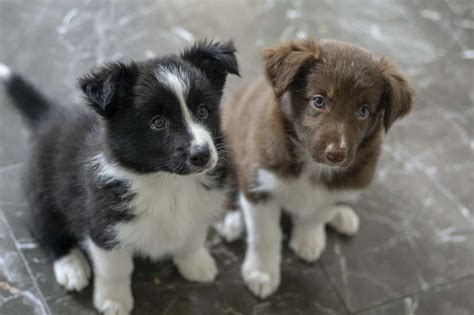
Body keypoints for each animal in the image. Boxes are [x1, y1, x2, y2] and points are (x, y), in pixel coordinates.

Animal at [0, 40, 237, 314]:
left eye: (203, 111)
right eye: (158, 122)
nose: (202, 154)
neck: (168, 182)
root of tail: (51, 116)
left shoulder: (202, 205)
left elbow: (192, 238)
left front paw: (197, 264)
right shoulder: (103, 224)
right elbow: (115, 268)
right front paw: (113, 301)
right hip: (42, 192)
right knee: (44, 228)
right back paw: (71, 266)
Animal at [217, 39, 412, 298]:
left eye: (363, 111)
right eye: (319, 101)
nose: (336, 154)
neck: (311, 164)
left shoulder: (343, 183)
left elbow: (318, 213)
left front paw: (308, 240)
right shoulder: (260, 183)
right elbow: (264, 235)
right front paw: (262, 273)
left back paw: (342, 215)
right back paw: (231, 221)